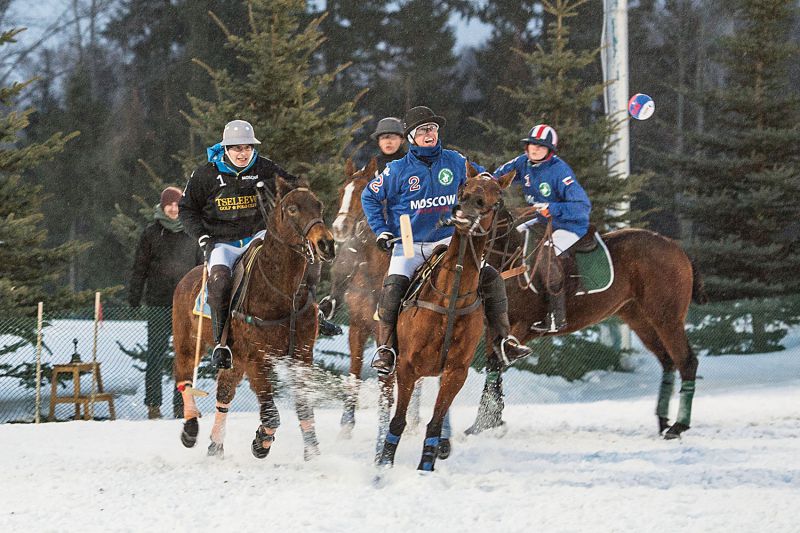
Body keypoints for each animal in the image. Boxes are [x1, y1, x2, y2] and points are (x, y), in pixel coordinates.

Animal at [173, 178, 336, 458]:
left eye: (319, 205)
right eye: (292, 209)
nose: (326, 244)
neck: (281, 292)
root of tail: (188, 277)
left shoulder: (302, 356)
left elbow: (304, 407)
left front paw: (313, 454)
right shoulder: (257, 358)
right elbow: (271, 414)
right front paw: (261, 442)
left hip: (234, 358)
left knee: (224, 393)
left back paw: (215, 445)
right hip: (189, 341)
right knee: (183, 378)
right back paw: (191, 429)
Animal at [376, 166, 512, 470]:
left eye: (497, 195)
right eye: (465, 187)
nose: (467, 207)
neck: (451, 296)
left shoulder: (456, 370)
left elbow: (435, 423)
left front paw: (426, 467)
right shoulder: (407, 366)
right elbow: (398, 421)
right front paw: (384, 466)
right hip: (388, 366)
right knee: (384, 405)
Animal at [468, 206, 708, 438]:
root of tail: (677, 248)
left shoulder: (524, 326)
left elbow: (498, 362)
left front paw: (490, 420)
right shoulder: (494, 329)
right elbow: (493, 367)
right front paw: (484, 423)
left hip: (667, 318)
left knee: (686, 361)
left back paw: (678, 426)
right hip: (641, 320)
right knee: (668, 361)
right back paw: (663, 420)